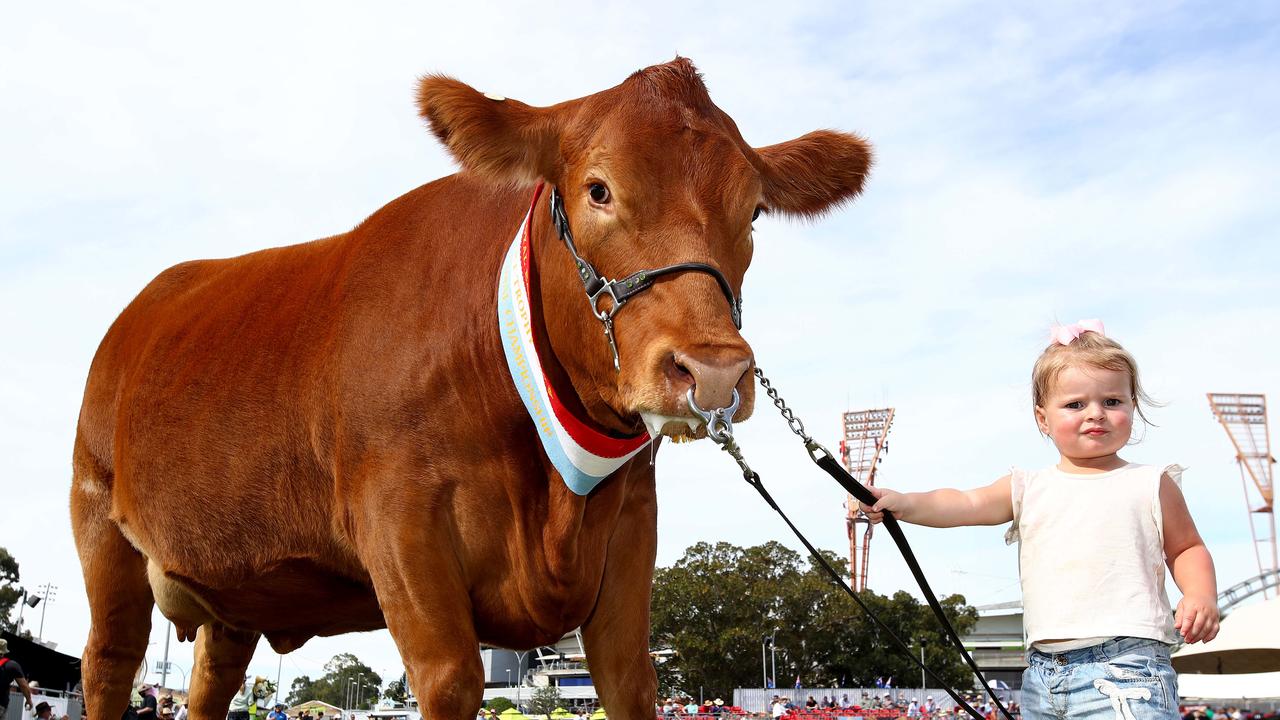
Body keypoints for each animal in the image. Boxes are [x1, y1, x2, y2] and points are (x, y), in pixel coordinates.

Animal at [70, 57, 870, 717]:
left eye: (754, 210)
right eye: (598, 190)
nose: (712, 370)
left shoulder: (630, 525)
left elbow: (630, 680)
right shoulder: (399, 523)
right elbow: (454, 680)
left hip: (234, 589)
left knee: (212, 682)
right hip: (100, 529)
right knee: (108, 662)